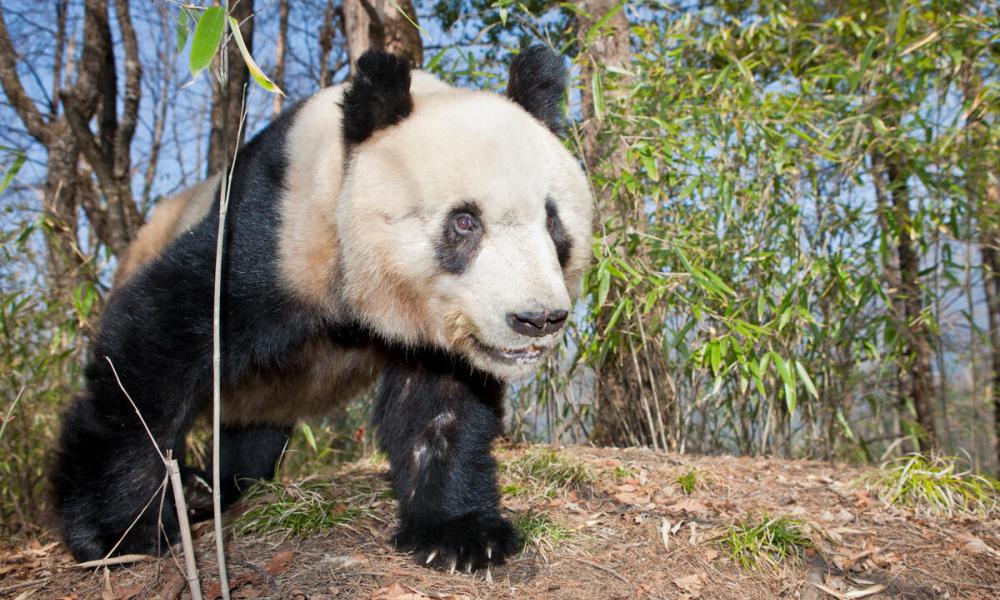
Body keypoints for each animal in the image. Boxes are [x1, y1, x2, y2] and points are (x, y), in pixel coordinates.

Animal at [54, 46, 593, 573]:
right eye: (464, 222)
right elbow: (155, 347)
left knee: (250, 434)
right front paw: (118, 533)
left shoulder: (440, 316)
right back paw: (194, 492)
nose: (537, 319)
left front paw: (457, 535)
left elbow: (441, 401)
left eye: (552, 221)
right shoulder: (277, 237)